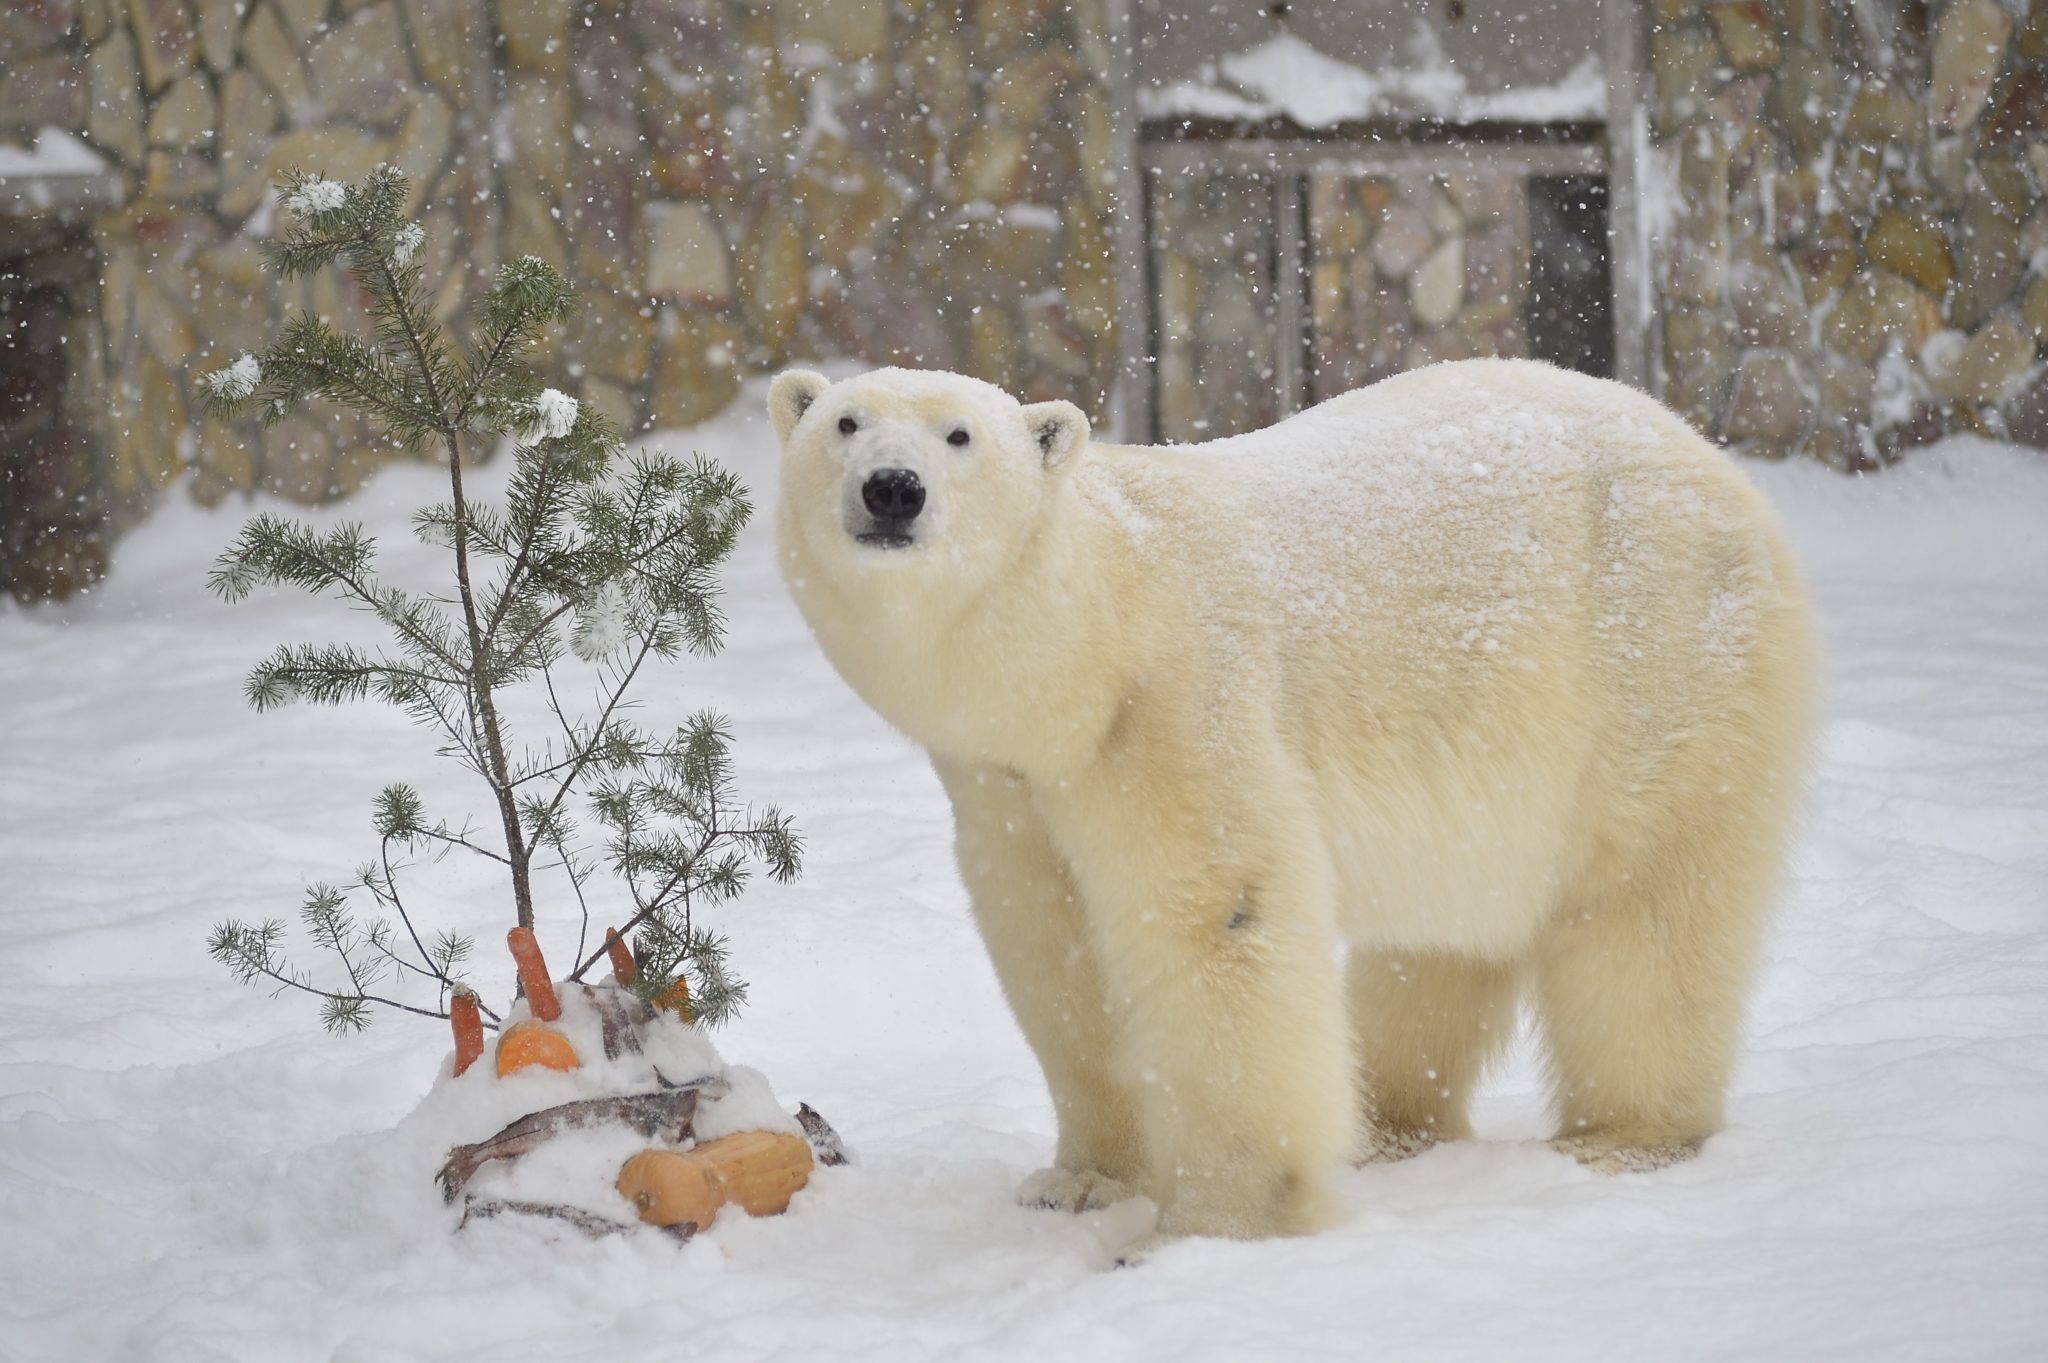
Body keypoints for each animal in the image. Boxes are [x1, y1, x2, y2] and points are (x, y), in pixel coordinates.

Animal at [770, 360, 1826, 1244]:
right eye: (844, 420)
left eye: (959, 435)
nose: (891, 487)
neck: (1089, 645)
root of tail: (1723, 471)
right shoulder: (1011, 785)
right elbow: (1056, 950)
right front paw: (1080, 1179)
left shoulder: (1176, 705)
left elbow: (1217, 916)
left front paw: (1219, 1218)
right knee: (1443, 939)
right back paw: (1387, 1122)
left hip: (1659, 671)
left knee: (1647, 913)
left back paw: (1621, 1134)